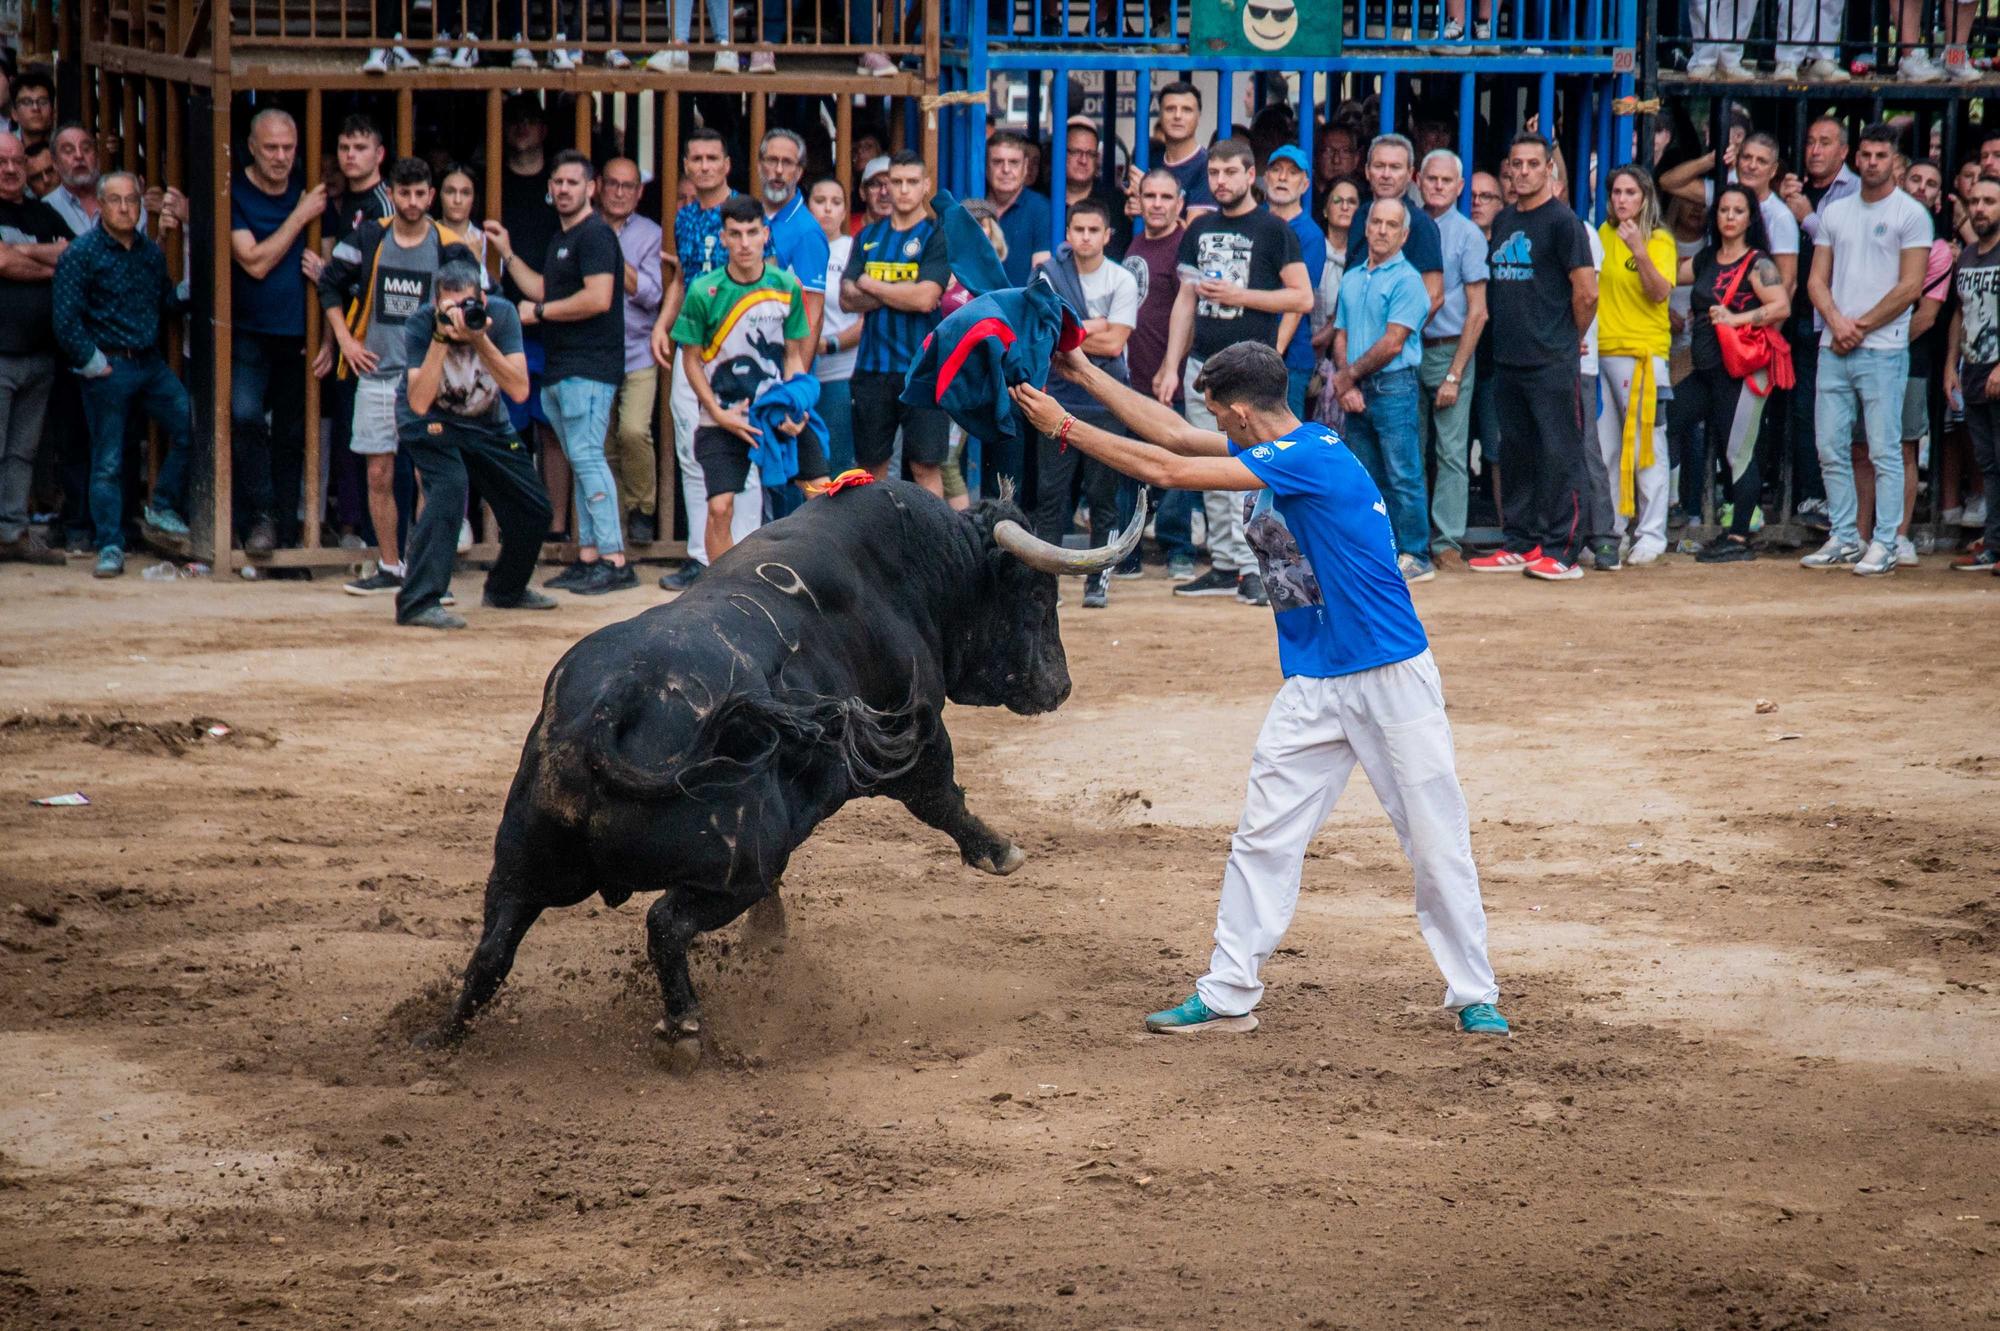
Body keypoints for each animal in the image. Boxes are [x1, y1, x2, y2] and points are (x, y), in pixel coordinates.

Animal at [422, 477, 1144, 1071]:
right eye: (1037, 593)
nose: (1060, 685)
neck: (910, 571)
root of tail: (610, 705)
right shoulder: (914, 732)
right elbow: (941, 797)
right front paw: (999, 851)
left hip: (522, 862)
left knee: (493, 951)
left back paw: (438, 1038)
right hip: (740, 860)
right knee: (665, 922)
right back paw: (683, 1028)